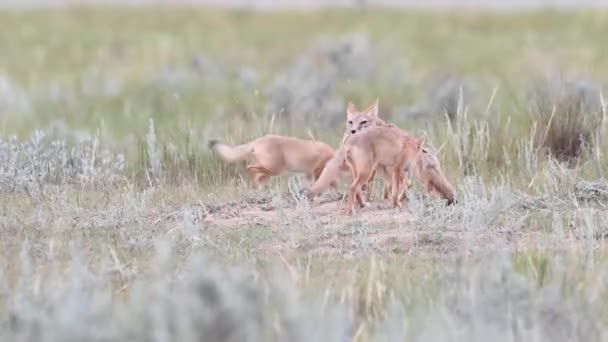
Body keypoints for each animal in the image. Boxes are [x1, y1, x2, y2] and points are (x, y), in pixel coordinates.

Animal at [209, 135, 338, 190]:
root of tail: (257, 140)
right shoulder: (317, 171)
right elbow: (322, 183)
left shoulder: (309, 173)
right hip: (274, 169)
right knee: (250, 168)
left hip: (268, 174)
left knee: (254, 176)